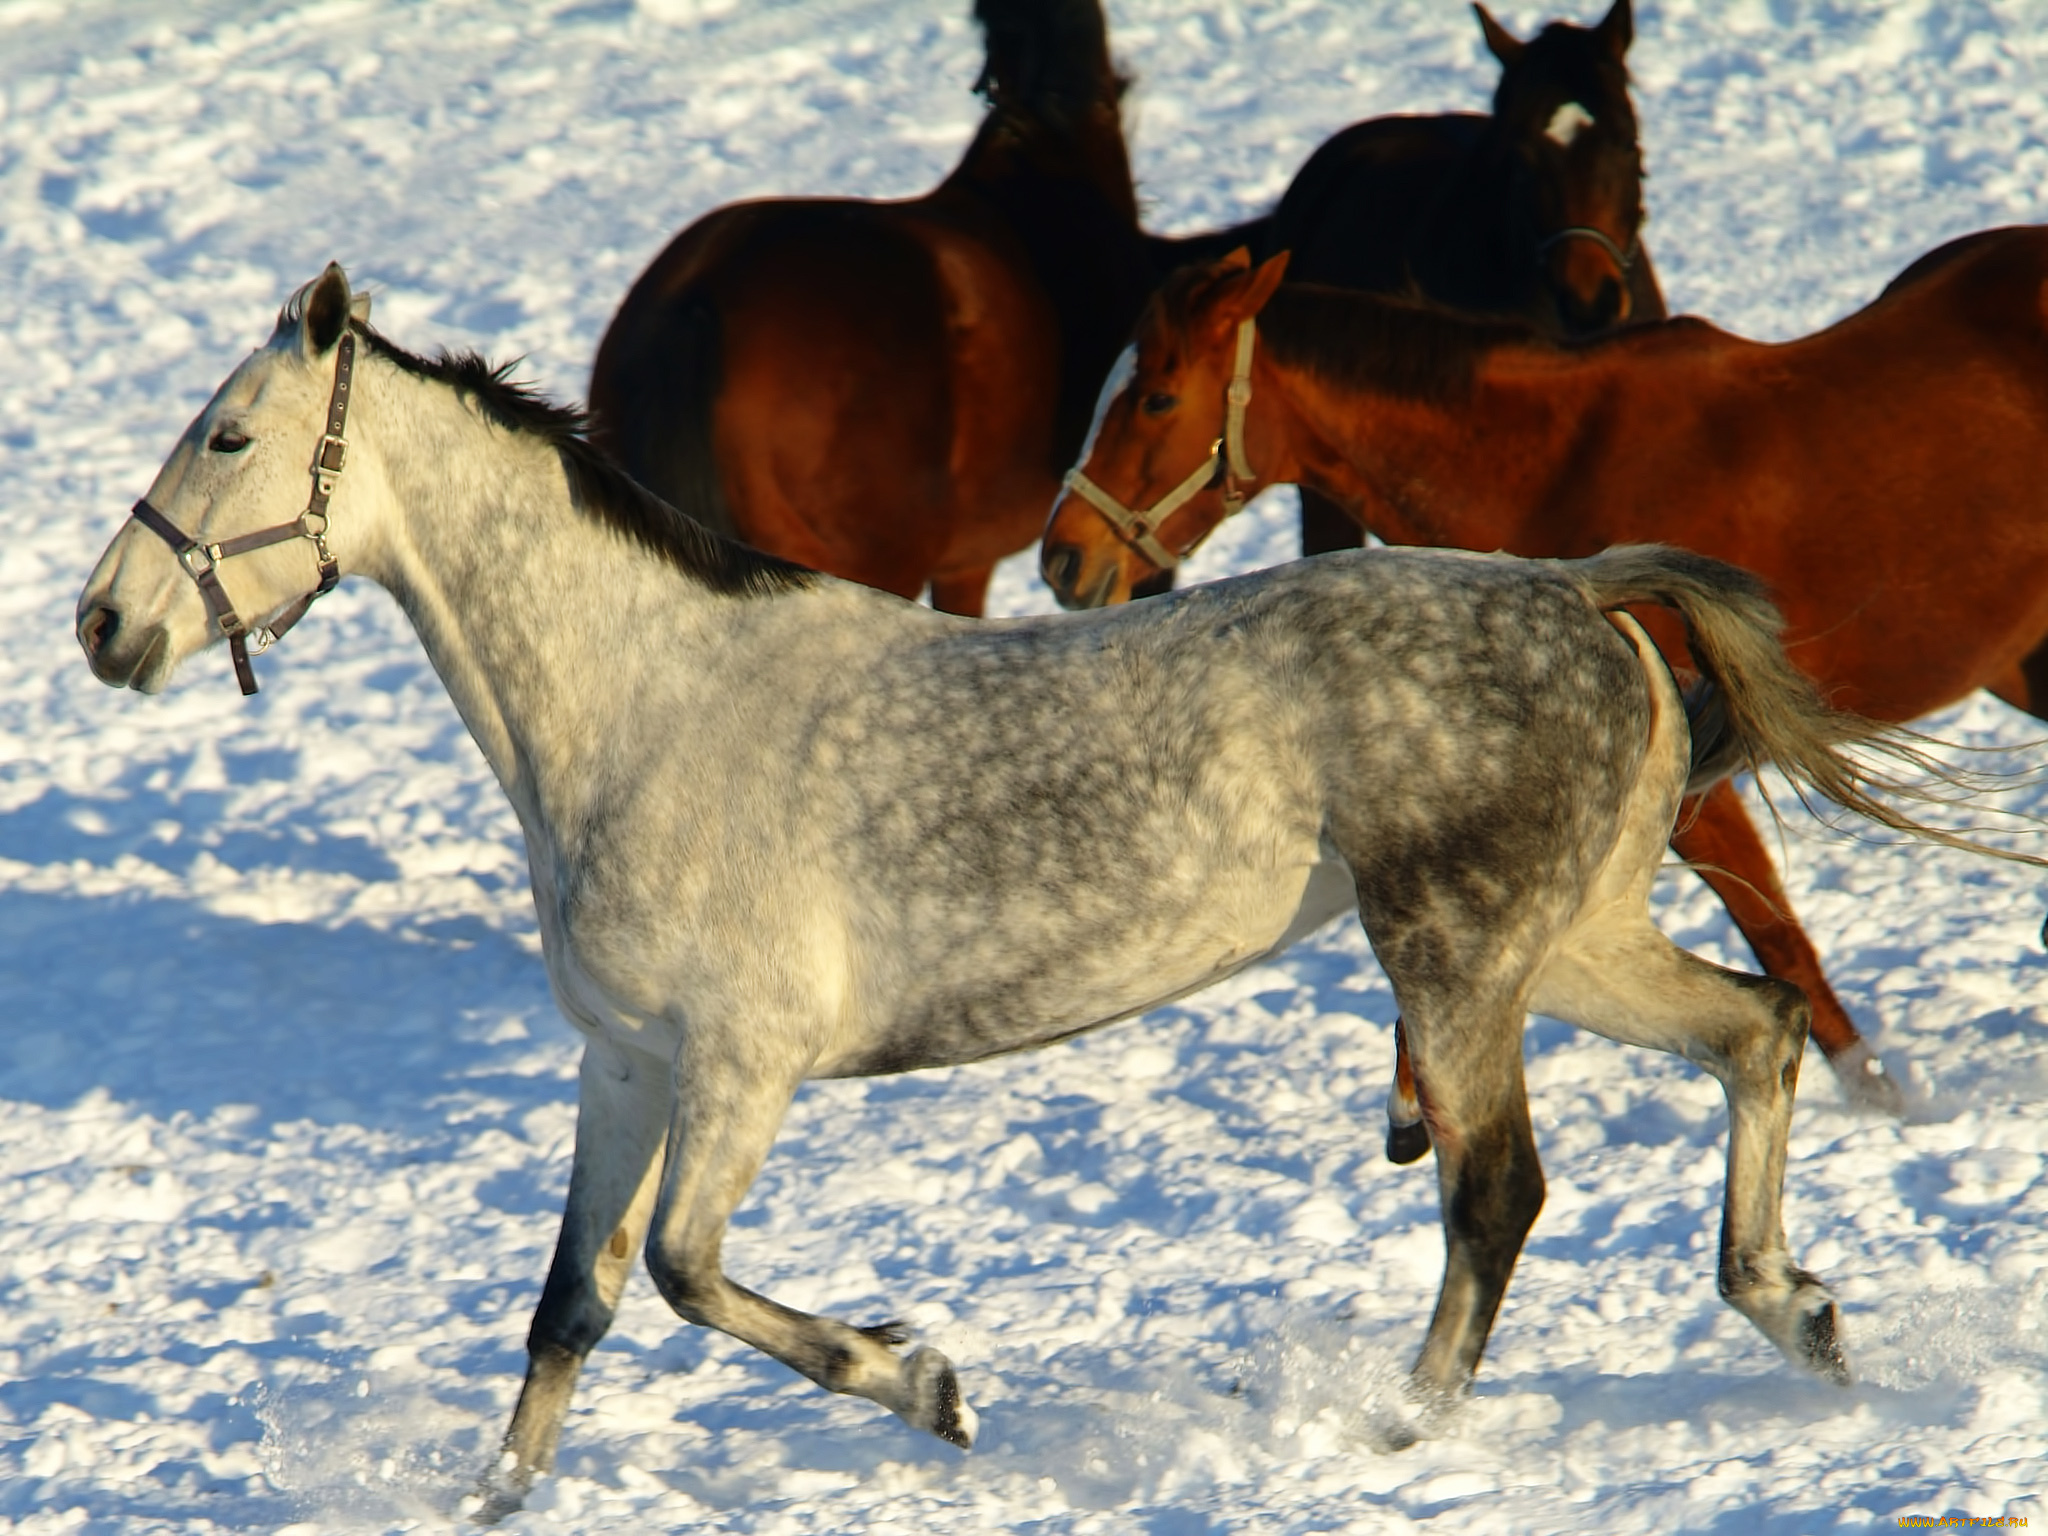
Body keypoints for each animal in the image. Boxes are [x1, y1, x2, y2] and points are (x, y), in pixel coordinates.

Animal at [72, 264, 1957, 1515]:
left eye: (226, 436)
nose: (102, 626)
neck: (644, 703)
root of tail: (1581, 594)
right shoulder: (625, 1063)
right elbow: (572, 1307)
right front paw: (498, 1502)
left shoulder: (741, 1068)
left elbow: (683, 1272)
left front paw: (928, 1384)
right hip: (1559, 948)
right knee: (1756, 1031)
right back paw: (1799, 1315)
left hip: (1454, 959)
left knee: (1497, 1192)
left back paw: (1401, 1433)